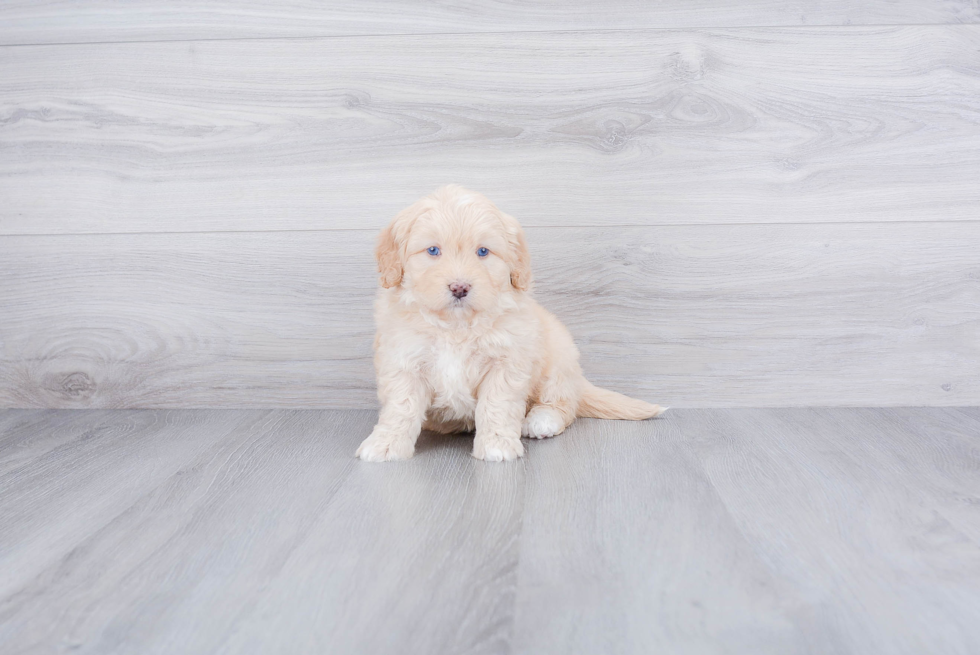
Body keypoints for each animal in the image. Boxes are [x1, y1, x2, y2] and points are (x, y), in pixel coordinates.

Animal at [356, 184, 668, 462]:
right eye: (433, 251)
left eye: (483, 252)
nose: (459, 287)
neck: (457, 326)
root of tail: (579, 381)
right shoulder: (403, 360)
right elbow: (401, 407)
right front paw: (386, 444)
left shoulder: (507, 360)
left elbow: (496, 405)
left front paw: (497, 446)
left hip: (558, 356)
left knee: (563, 402)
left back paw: (542, 420)